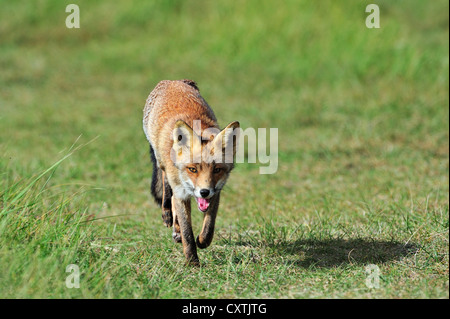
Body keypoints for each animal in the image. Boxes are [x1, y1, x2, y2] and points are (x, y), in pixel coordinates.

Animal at [143, 80, 239, 268]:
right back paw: (168, 216)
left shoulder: (216, 193)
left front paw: (202, 240)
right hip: (161, 163)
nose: (204, 192)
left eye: (217, 169)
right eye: (193, 169)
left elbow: (209, 226)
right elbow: (187, 232)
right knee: (167, 190)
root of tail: (174, 81)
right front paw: (192, 262)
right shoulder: (181, 193)